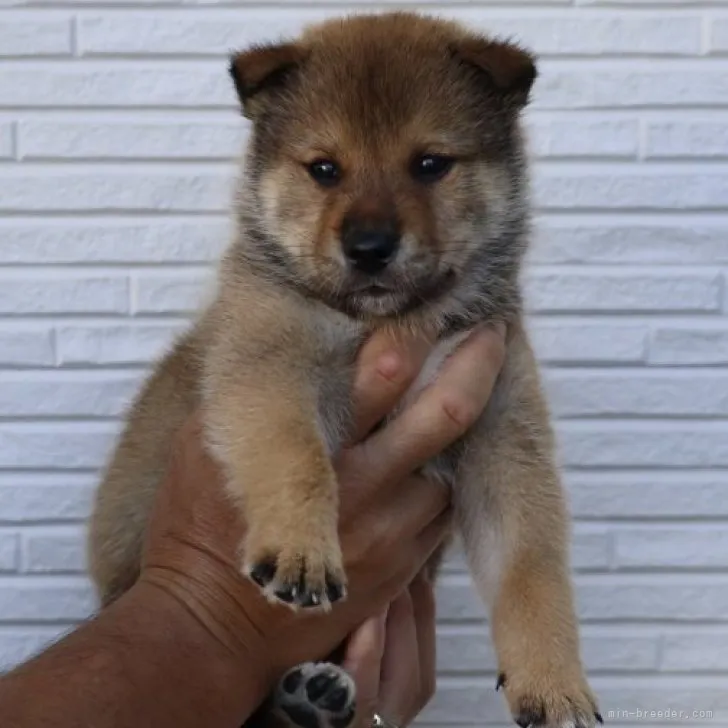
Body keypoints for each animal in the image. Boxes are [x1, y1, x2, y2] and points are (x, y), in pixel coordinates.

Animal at [88, 11, 600, 728]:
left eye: (430, 164)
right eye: (324, 169)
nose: (369, 247)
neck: (388, 322)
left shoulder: (502, 434)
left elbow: (532, 568)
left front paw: (555, 683)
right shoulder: (269, 367)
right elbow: (296, 459)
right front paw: (301, 550)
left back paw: (314, 695)